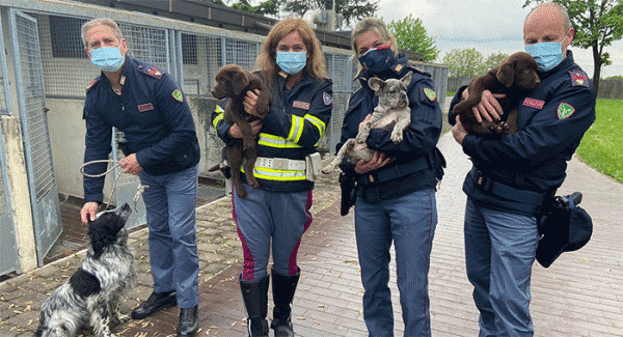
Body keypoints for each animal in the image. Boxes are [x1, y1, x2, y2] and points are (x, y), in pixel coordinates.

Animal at [211, 63, 272, 197]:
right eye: (216, 80)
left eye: (223, 80)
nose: (211, 91)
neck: (243, 92)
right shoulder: (233, 109)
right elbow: (244, 124)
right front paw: (248, 138)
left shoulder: (266, 94)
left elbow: (265, 91)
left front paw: (261, 106)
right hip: (235, 152)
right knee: (235, 173)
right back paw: (240, 190)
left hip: (254, 150)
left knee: (248, 165)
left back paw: (253, 182)